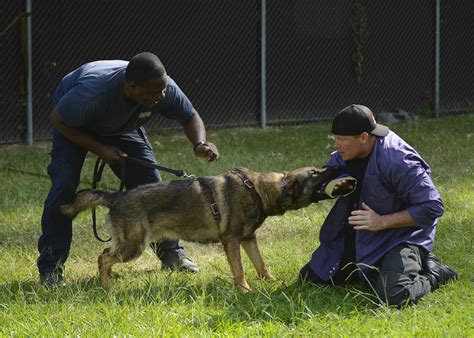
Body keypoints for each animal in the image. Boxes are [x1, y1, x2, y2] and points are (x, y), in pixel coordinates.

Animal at [61, 166, 354, 290]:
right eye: (315, 173)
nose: (335, 166)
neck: (258, 190)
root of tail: (118, 196)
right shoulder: (231, 241)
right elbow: (240, 271)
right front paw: (245, 291)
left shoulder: (249, 240)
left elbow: (262, 265)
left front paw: (271, 283)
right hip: (134, 246)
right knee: (103, 257)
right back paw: (106, 285)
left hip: (128, 244)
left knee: (106, 255)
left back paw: (110, 279)